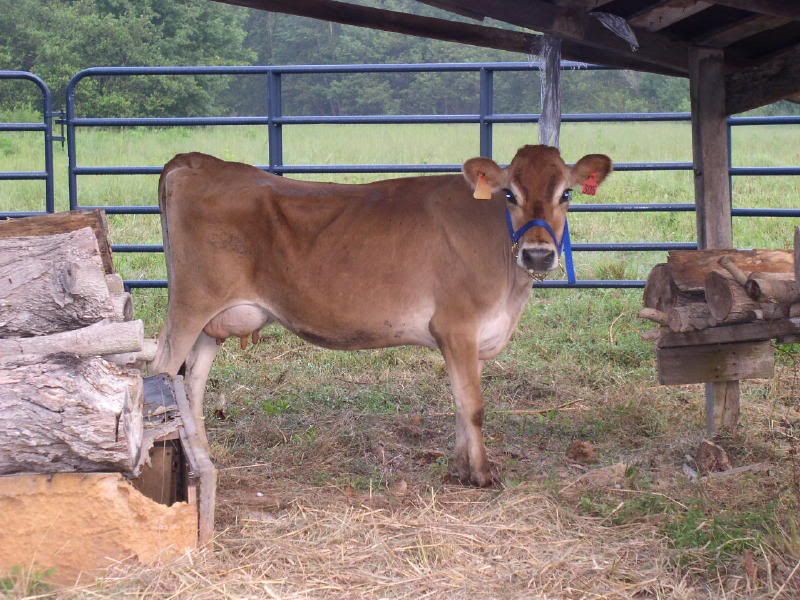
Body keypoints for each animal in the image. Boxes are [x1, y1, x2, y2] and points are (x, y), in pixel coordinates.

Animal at [150, 146, 612, 486]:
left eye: (566, 195)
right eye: (510, 194)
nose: (538, 254)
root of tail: (200, 161)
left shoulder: (473, 338)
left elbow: (460, 403)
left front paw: (460, 467)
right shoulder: (457, 325)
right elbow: (474, 405)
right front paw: (482, 474)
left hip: (215, 321)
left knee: (192, 384)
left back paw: (204, 460)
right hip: (191, 304)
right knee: (162, 371)